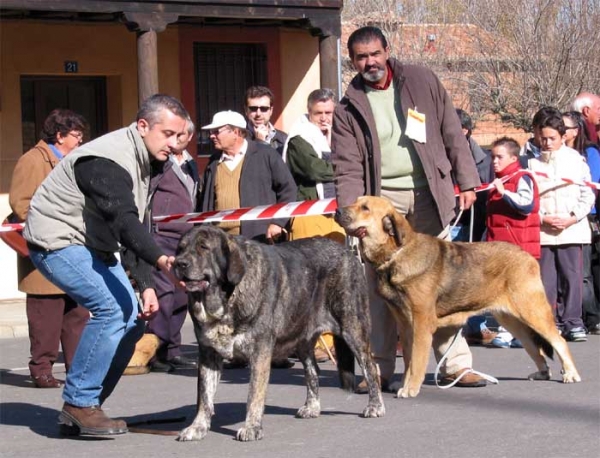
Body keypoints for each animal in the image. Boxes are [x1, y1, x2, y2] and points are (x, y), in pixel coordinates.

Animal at [172, 225, 384, 440]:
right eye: (180, 249)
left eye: (203, 247)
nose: (179, 263)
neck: (226, 299)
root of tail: (348, 253)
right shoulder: (208, 355)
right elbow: (204, 396)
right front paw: (198, 427)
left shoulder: (260, 352)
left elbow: (254, 394)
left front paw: (252, 427)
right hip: (303, 340)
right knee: (312, 370)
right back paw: (312, 407)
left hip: (353, 329)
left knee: (371, 367)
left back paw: (375, 406)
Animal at [336, 195, 580, 398]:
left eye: (365, 208)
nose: (337, 211)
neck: (396, 253)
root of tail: (527, 256)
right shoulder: (405, 325)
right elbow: (408, 360)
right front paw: (404, 383)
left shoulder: (421, 324)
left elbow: (417, 361)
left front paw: (411, 388)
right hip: (511, 319)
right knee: (533, 346)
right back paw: (542, 373)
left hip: (532, 311)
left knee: (558, 340)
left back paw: (570, 374)